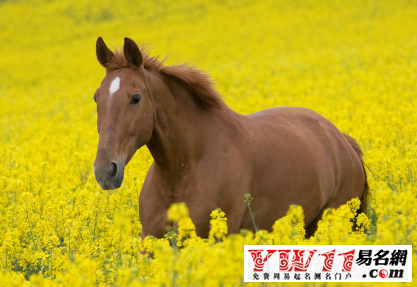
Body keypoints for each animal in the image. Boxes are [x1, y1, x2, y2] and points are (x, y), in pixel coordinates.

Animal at [93, 36, 368, 238]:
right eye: (97, 97)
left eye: (135, 98)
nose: (105, 171)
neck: (183, 171)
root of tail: (340, 139)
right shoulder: (150, 239)